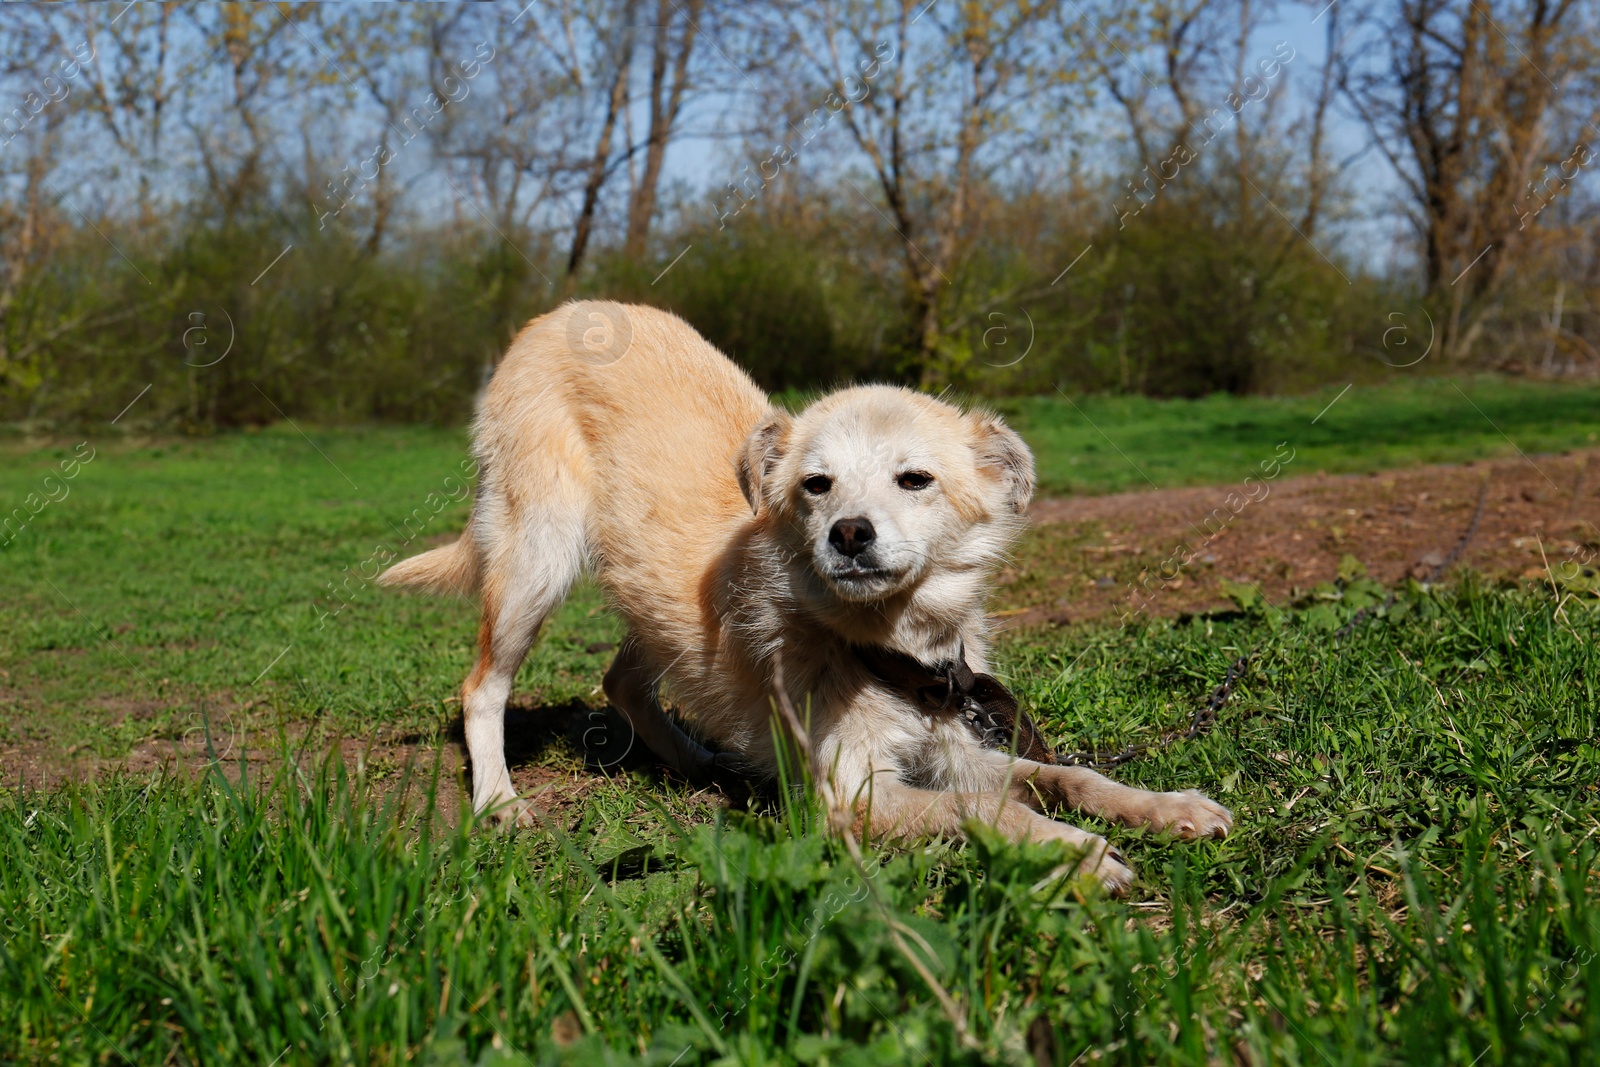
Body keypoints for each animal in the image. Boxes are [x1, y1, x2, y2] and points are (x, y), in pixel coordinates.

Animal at [380, 302, 1228, 895]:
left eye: (914, 478)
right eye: (817, 484)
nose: (850, 533)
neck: (889, 646)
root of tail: (557, 314)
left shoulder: (954, 753)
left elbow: (1065, 776)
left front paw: (1166, 806)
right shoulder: (854, 795)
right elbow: (992, 810)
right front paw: (1078, 852)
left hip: (652, 598)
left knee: (622, 678)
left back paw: (703, 760)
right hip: (537, 561)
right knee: (480, 687)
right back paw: (498, 799)